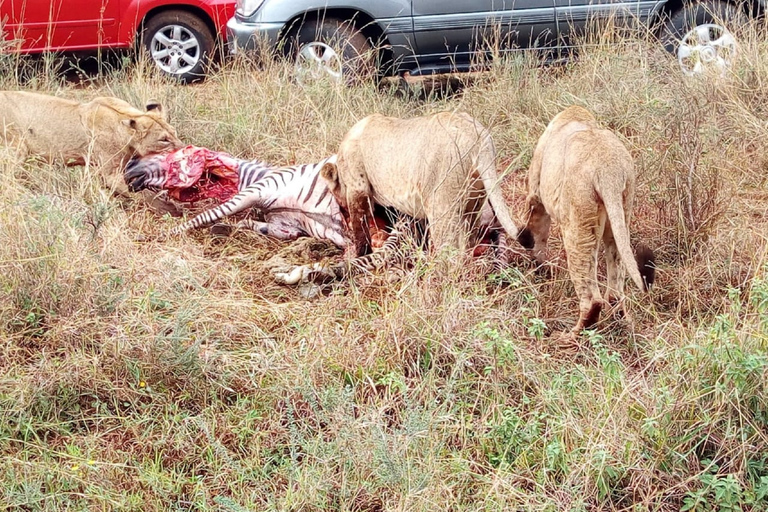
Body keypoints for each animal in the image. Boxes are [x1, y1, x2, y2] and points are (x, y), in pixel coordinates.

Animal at [0, 90, 182, 212]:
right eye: (164, 140)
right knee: (8, 178)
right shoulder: (111, 174)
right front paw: (172, 210)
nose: (183, 149)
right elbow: (146, 195)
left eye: (174, 132)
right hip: (16, 148)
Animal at [318, 110, 520, 258]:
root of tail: (479, 137)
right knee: (467, 240)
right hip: (474, 201)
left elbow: (360, 229)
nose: (340, 210)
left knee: (450, 251)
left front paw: (359, 255)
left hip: (441, 206)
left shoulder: (357, 188)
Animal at [516, 106, 656, 338]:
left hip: (578, 222)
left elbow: (536, 232)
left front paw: (538, 269)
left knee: (592, 298)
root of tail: (609, 170)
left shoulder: (536, 193)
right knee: (615, 287)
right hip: (621, 210)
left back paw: (570, 336)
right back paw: (620, 324)